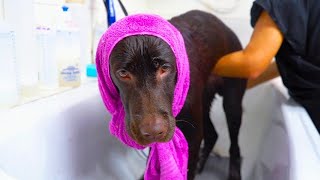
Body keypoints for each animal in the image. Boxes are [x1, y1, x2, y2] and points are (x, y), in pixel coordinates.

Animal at [109, 10, 246, 180]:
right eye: (123, 73)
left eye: (165, 68)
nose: (153, 131)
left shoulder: (192, 135)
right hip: (202, 105)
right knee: (212, 134)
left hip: (231, 104)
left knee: (234, 145)